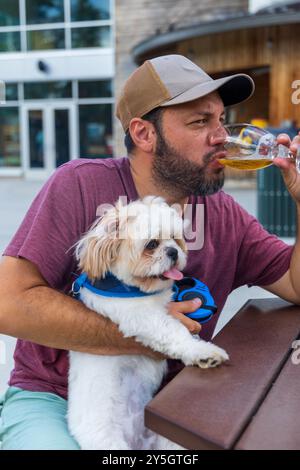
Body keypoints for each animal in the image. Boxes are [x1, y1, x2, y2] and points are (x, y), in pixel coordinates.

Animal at [67, 196, 227, 450]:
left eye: (175, 238)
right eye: (151, 244)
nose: (173, 251)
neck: (134, 288)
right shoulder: (143, 317)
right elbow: (174, 332)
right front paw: (202, 352)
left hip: (169, 440)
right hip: (109, 441)